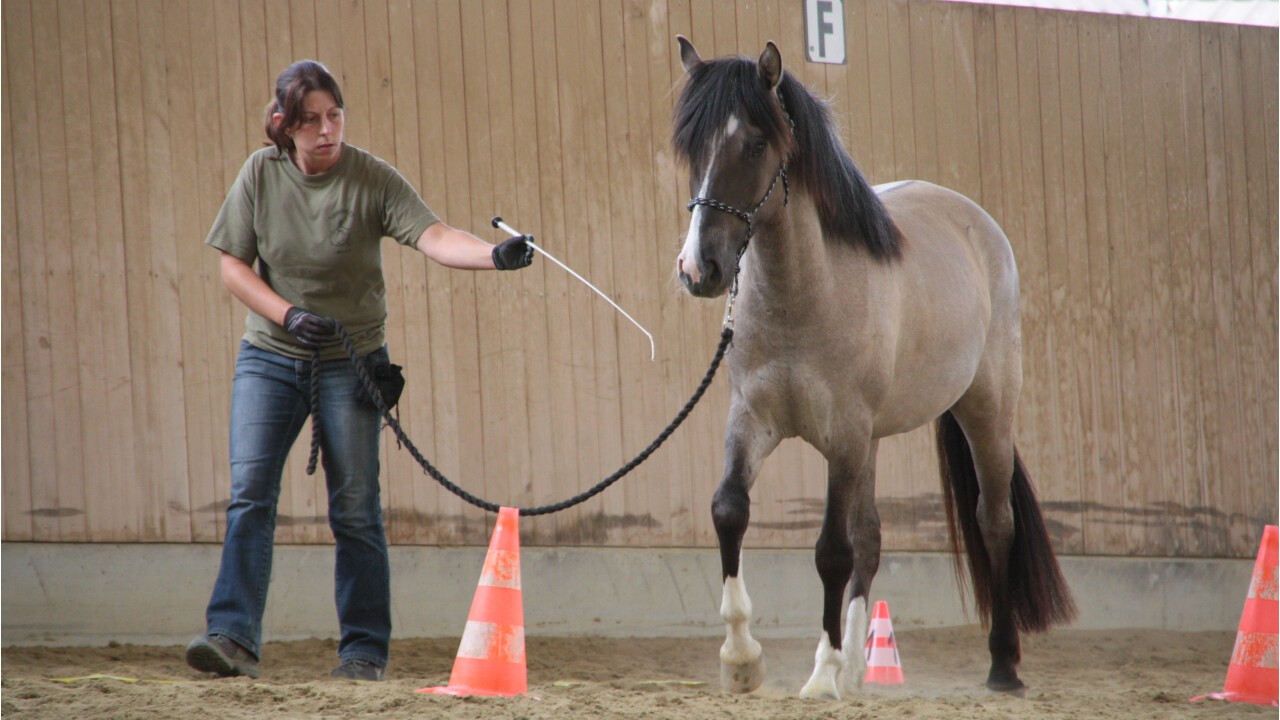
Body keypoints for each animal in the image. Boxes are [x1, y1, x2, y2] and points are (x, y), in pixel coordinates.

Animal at [675, 36, 1075, 696]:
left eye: (754, 144)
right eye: (689, 145)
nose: (699, 268)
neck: (803, 297)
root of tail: (976, 224)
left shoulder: (844, 434)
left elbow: (831, 551)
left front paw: (820, 676)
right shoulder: (754, 419)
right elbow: (730, 511)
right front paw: (742, 659)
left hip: (984, 411)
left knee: (994, 521)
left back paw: (1002, 666)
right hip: (875, 441)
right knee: (872, 536)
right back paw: (861, 668)